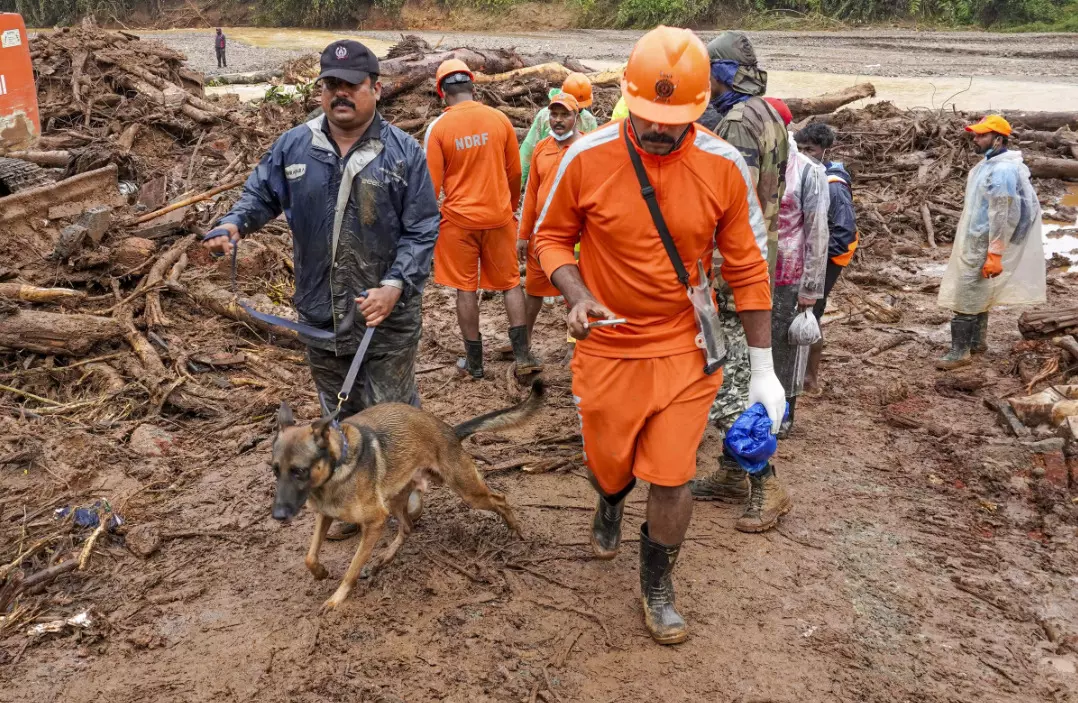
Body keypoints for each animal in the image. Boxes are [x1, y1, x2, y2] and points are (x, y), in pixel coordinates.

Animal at [269, 381, 539, 612]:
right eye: (275, 470)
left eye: (299, 471)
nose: (278, 515)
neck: (337, 468)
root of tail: (449, 431)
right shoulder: (325, 515)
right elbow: (309, 556)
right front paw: (320, 572)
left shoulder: (375, 521)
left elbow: (352, 568)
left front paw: (337, 598)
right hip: (396, 499)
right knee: (408, 527)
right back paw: (384, 558)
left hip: (467, 491)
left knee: (500, 499)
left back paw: (516, 530)